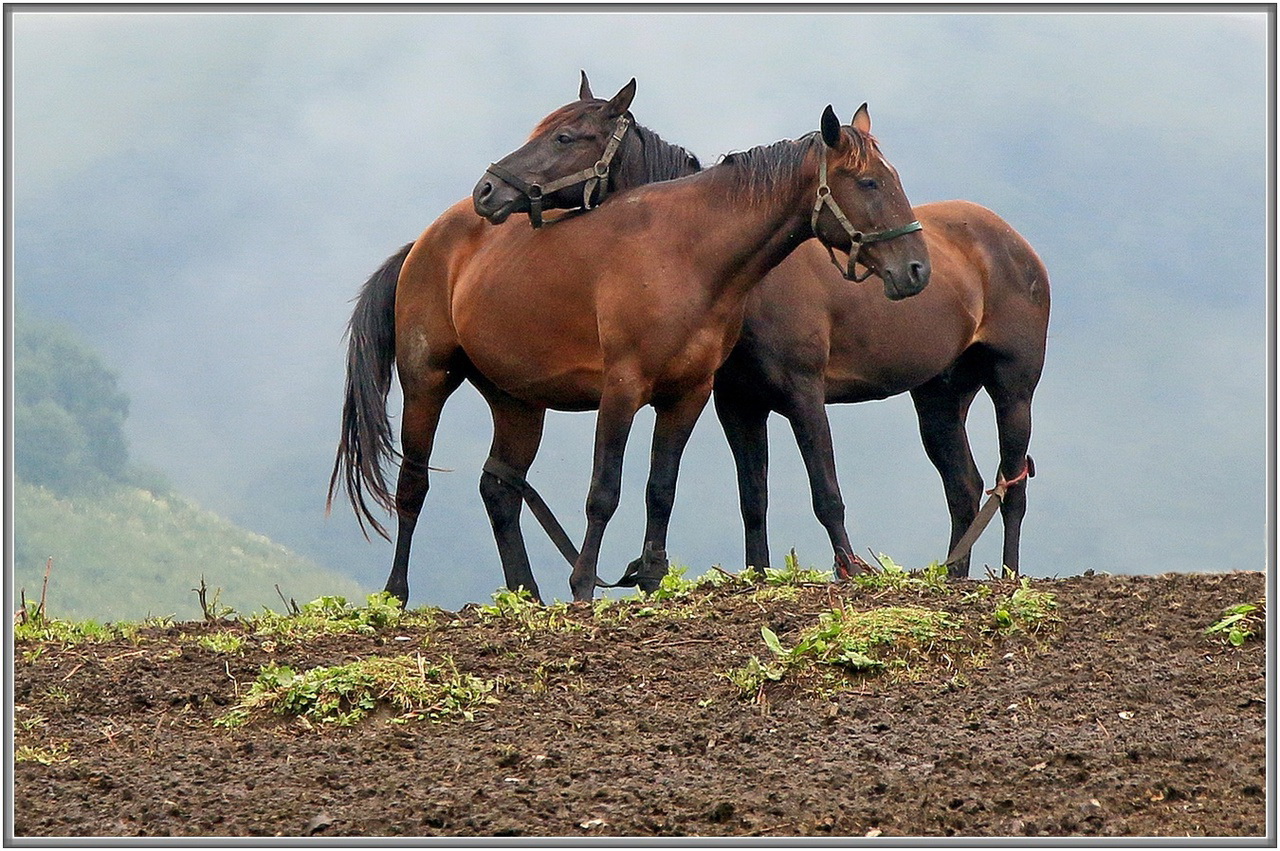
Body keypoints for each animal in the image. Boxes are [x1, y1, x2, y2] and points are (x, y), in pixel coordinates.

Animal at [335, 79, 926, 601]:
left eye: (565, 137)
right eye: (869, 183)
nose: (916, 268)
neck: (687, 252)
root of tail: (424, 243)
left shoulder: (690, 396)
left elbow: (661, 489)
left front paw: (651, 579)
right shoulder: (622, 390)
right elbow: (605, 491)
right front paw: (583, 587)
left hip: (517, 402)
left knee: (499, 488)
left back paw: (526, 596)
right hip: (426, 384)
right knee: (413, 486)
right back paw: (396, 594)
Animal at [473, 87, 1049, 578]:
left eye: (566, 137)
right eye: (870, 182)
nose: (486, 190)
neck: (742, 275)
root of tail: (1013, 243)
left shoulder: (802, 392)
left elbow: (825, 490)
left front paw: (848, 573)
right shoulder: (739, 404)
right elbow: (754, 498)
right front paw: (758, 575)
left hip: (1013, 389)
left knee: (1013, 487)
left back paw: (1010, 578)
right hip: (940, 397)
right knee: (965, 488)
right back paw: (956, 578)